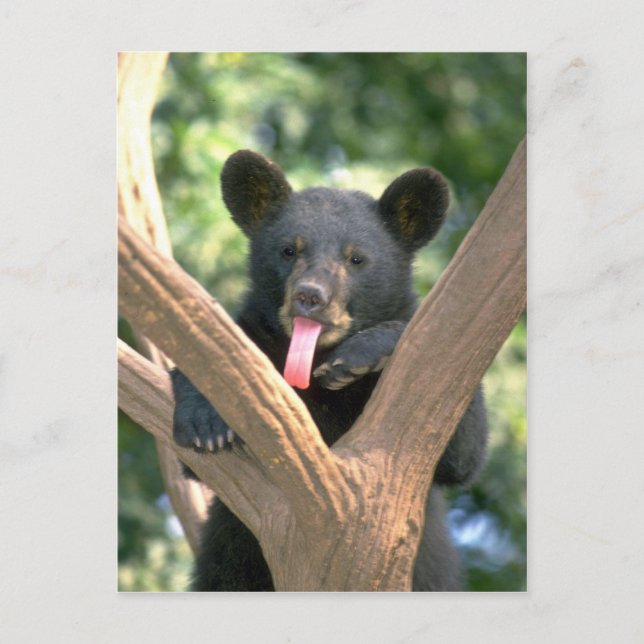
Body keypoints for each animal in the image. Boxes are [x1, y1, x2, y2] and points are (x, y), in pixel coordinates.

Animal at [170, 149, 488, 591]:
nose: (310, 296)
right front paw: (205, 420)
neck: (311, 358)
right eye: (289, 250)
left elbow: (462, 453)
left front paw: (357, 356)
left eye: (356, 258)